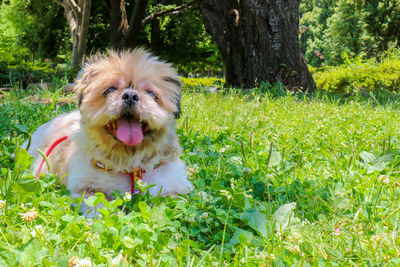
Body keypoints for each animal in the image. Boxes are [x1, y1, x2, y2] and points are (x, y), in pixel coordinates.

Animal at [23, 49, 195, 219]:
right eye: (111, 90)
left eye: (151, 94)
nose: (130, 95)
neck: (129, 163)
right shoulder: (87, 188)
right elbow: (99, 207)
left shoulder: (172, 187)